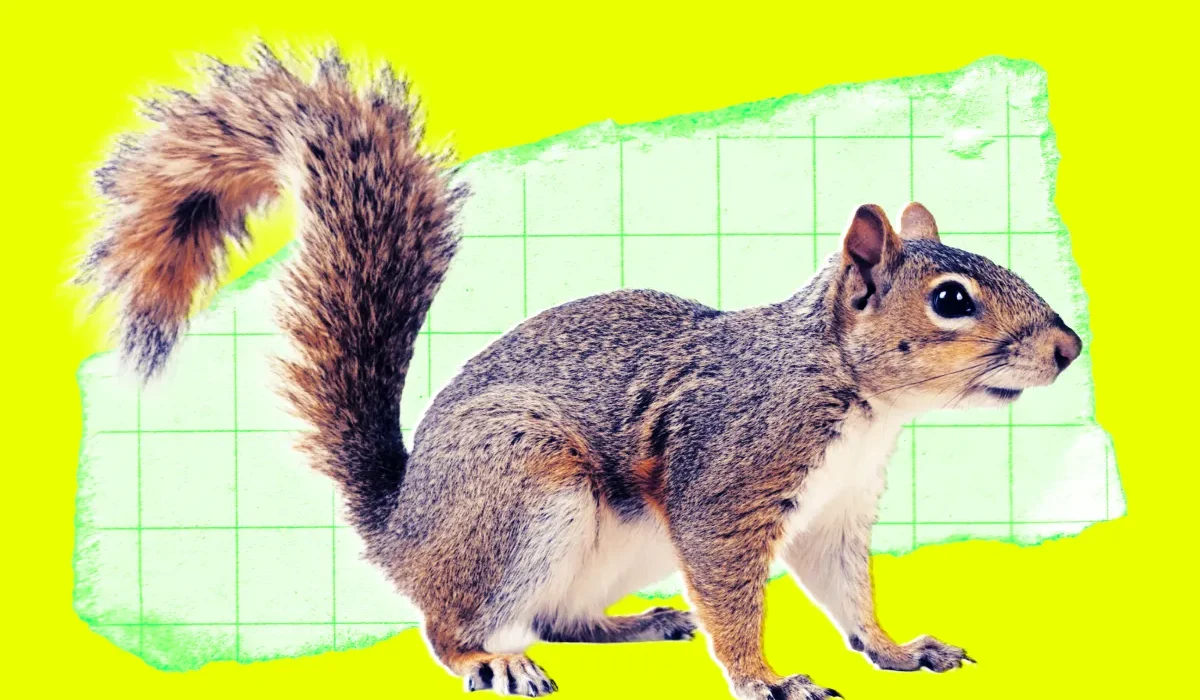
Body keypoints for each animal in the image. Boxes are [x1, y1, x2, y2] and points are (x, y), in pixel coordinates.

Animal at [77, 43, 1083, 700]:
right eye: (951, 300)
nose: (1070, 348)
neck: (858, 398)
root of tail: (401, 530)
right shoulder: (728, 476)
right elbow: (733, 593)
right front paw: (767, 678)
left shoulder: (834, 508)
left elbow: (846, 590)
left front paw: (897, 648)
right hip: (523, 493)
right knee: (451, 626)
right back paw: (492, 659)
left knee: (559, 614)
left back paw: (638, 621)